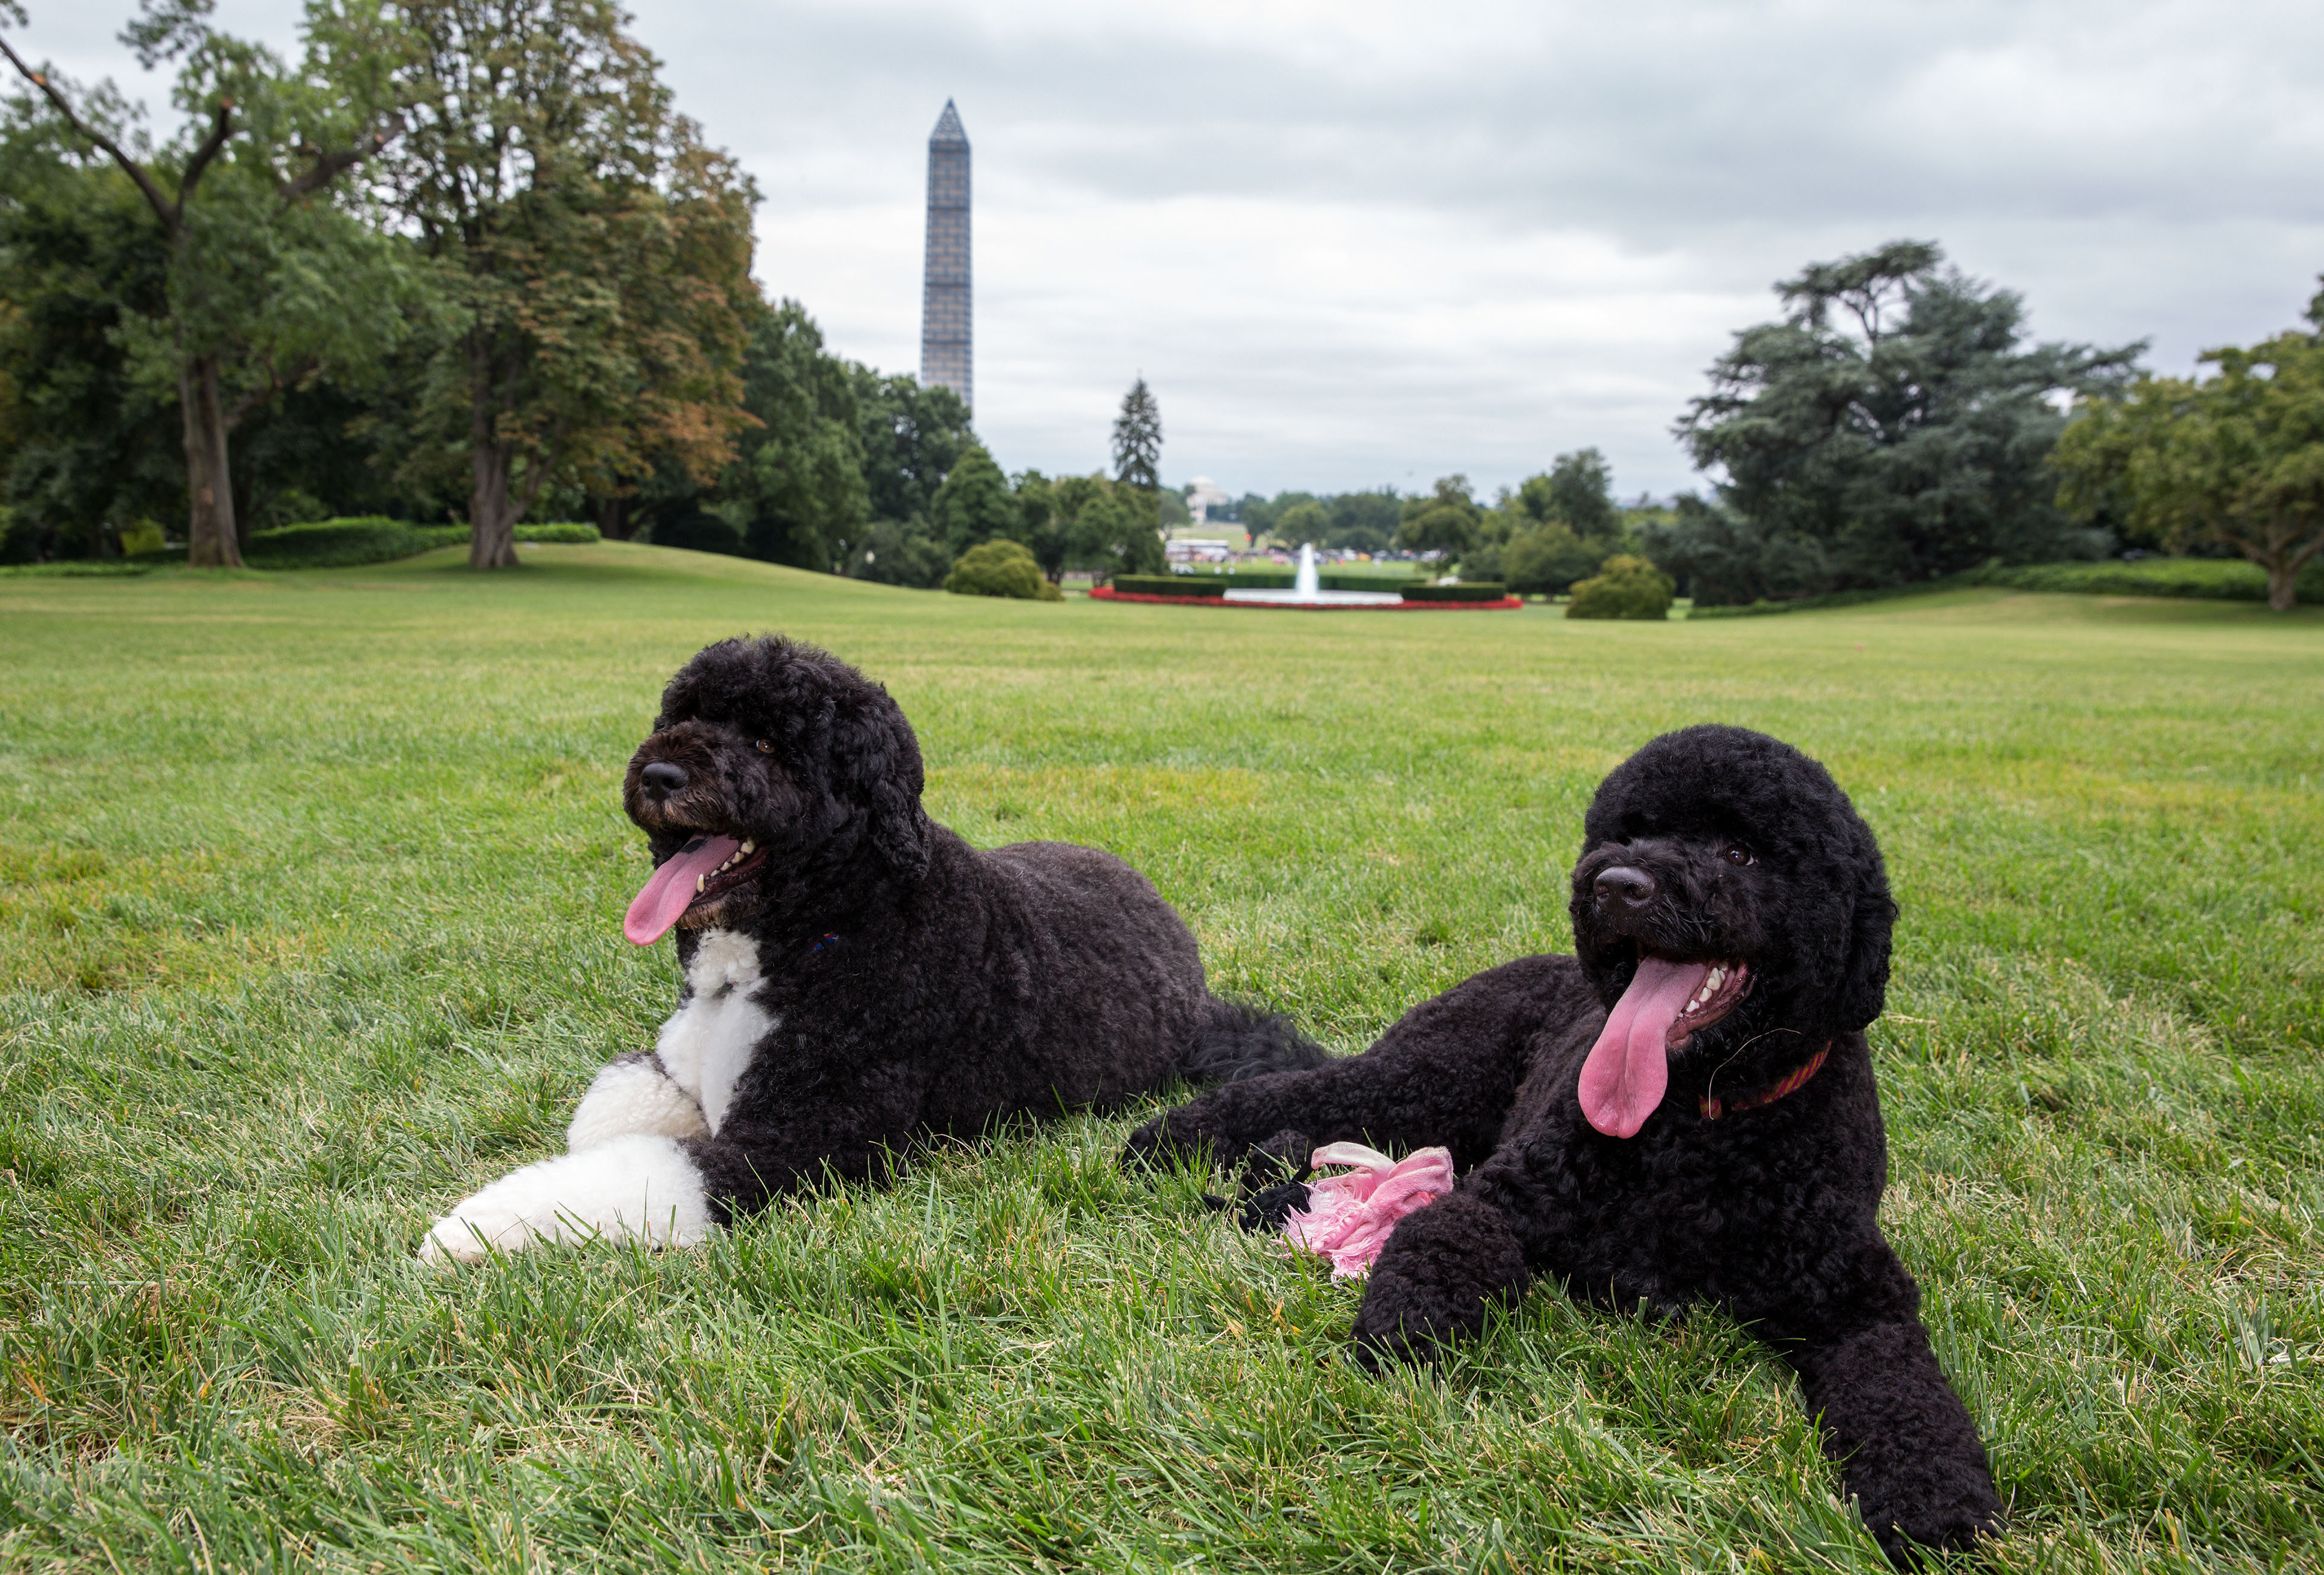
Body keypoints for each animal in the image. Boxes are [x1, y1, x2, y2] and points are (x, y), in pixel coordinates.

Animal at [425, 636, 1320, 1263]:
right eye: (683, 713)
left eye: (769, 744)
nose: (661, 774)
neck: (816, 929)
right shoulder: (677, 1064)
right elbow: (612, 1113)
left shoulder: (798, 1143)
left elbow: (646, 1167)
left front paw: (474, 1225)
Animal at [1124, 729, 1998, 1570]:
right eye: (1632, 829)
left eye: (1741, 851)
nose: (1617, 883)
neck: (1700, 1124)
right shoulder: (1508, 1195)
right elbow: (1445, 1233)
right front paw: (1407, 1328)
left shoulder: (1860, 1298)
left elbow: (1907, 1392)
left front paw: (1938, 1501)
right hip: (1423, 1080)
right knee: (1297, 1090)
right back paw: (1166, 1138)